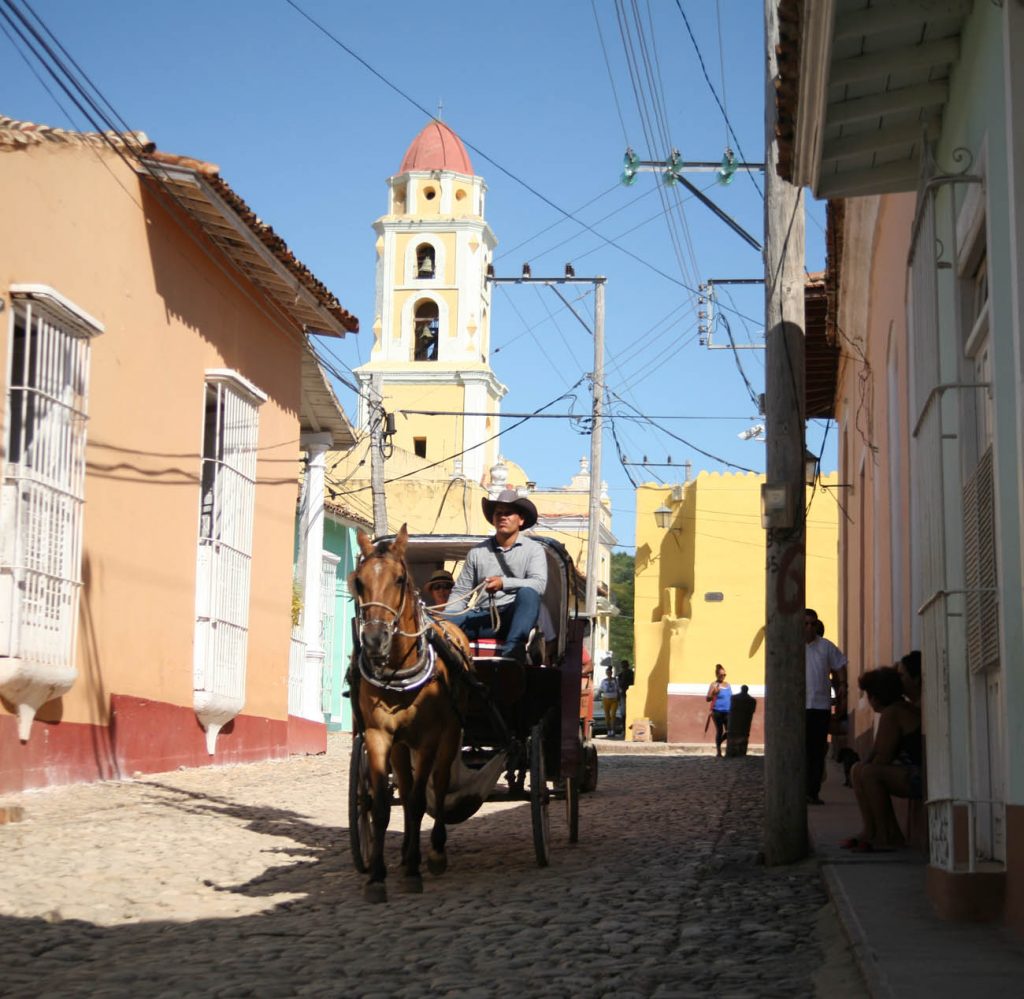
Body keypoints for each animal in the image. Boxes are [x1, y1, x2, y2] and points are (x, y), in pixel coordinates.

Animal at [346, 528, 468, 900]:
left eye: (399, 579)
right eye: (358, 581)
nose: (374, 640)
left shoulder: (427, 739)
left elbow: (415, 802)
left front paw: (415, 870)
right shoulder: (378, 736)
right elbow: (382, 803)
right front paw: (376, 877)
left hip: (449, 736)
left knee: (438, 785)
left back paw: (436, 852)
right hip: (400, 746)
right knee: (403, 781)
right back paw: (402, 854)